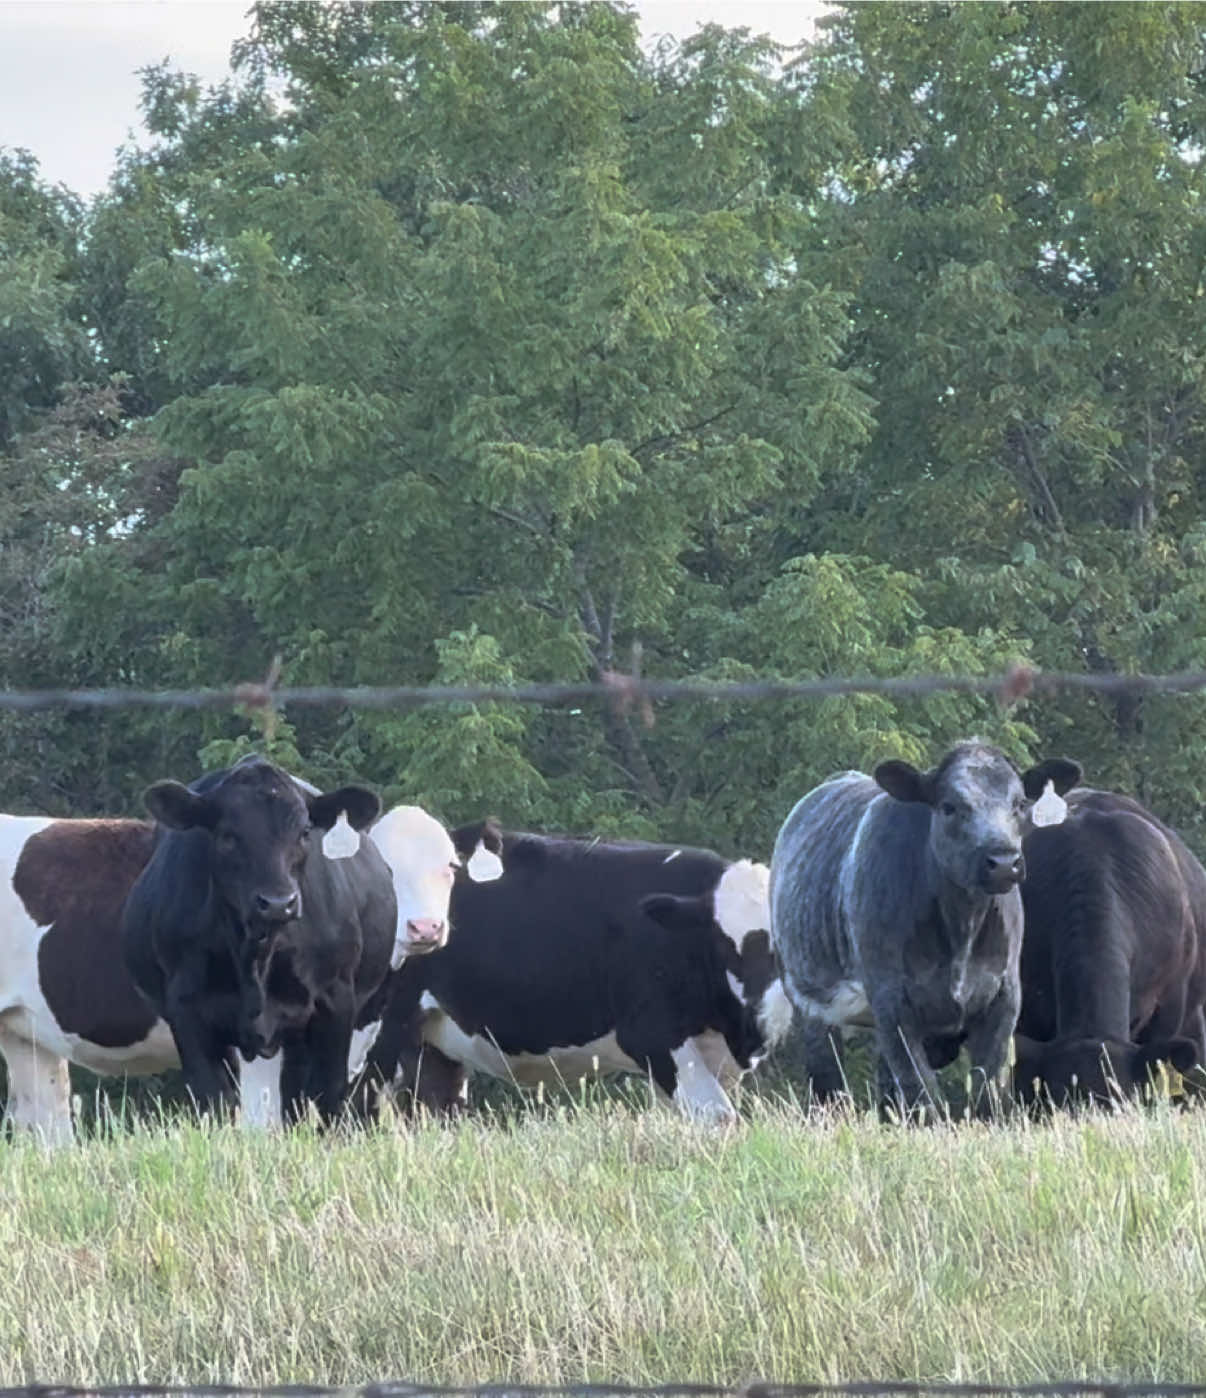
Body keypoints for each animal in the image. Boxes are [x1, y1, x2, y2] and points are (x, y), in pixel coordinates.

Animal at [769, 740, 1081, 1116]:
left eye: (1020, 803)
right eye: (949, 806)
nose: (1004, 861)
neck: (962, 928)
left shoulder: (1005, 997)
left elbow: (986, 1092)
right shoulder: (892, 1002)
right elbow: (922, 1094)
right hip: (808, 1000)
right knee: (828, 1083)